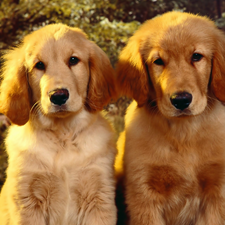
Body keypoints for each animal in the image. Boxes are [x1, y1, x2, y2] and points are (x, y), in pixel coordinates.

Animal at [0, 23, 118, 224]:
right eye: (39, 65)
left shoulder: (99, 197)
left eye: (73, 60)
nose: (58, 96)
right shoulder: (27, 201)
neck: (63, 133)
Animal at [116, 11, 225, 224]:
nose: (181, 100)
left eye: (196, 56)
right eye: (158, 61)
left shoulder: (217, 192)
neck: (184, 132)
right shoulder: (143, 194)